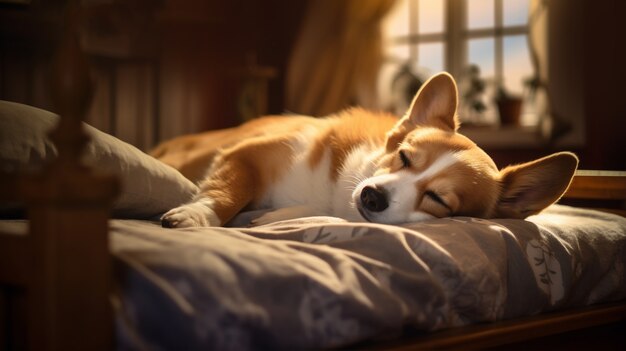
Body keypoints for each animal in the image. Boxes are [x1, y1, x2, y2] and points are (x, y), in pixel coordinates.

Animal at [152, 73, 576, 228]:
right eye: (404, 157)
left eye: (438, 199)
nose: (372, 197)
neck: (334, 193)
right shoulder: (246, 156)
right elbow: (228, 192)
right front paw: (197, 215)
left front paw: (271, 218)